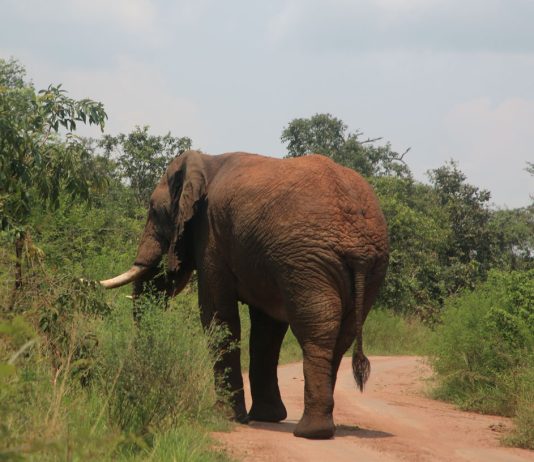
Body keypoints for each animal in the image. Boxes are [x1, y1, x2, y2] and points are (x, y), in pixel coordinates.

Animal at [100, 150, 390, 438]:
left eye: (154, 210)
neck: (206, 162)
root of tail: (358, 241)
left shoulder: (212, 236)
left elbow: (218, 315)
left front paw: (224, 417)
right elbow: (266, 332)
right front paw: (266, 417)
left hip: (309, 261)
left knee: (315, 330)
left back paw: (311, 432)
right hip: (368, 268)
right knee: (342, 334)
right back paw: (319, 427)